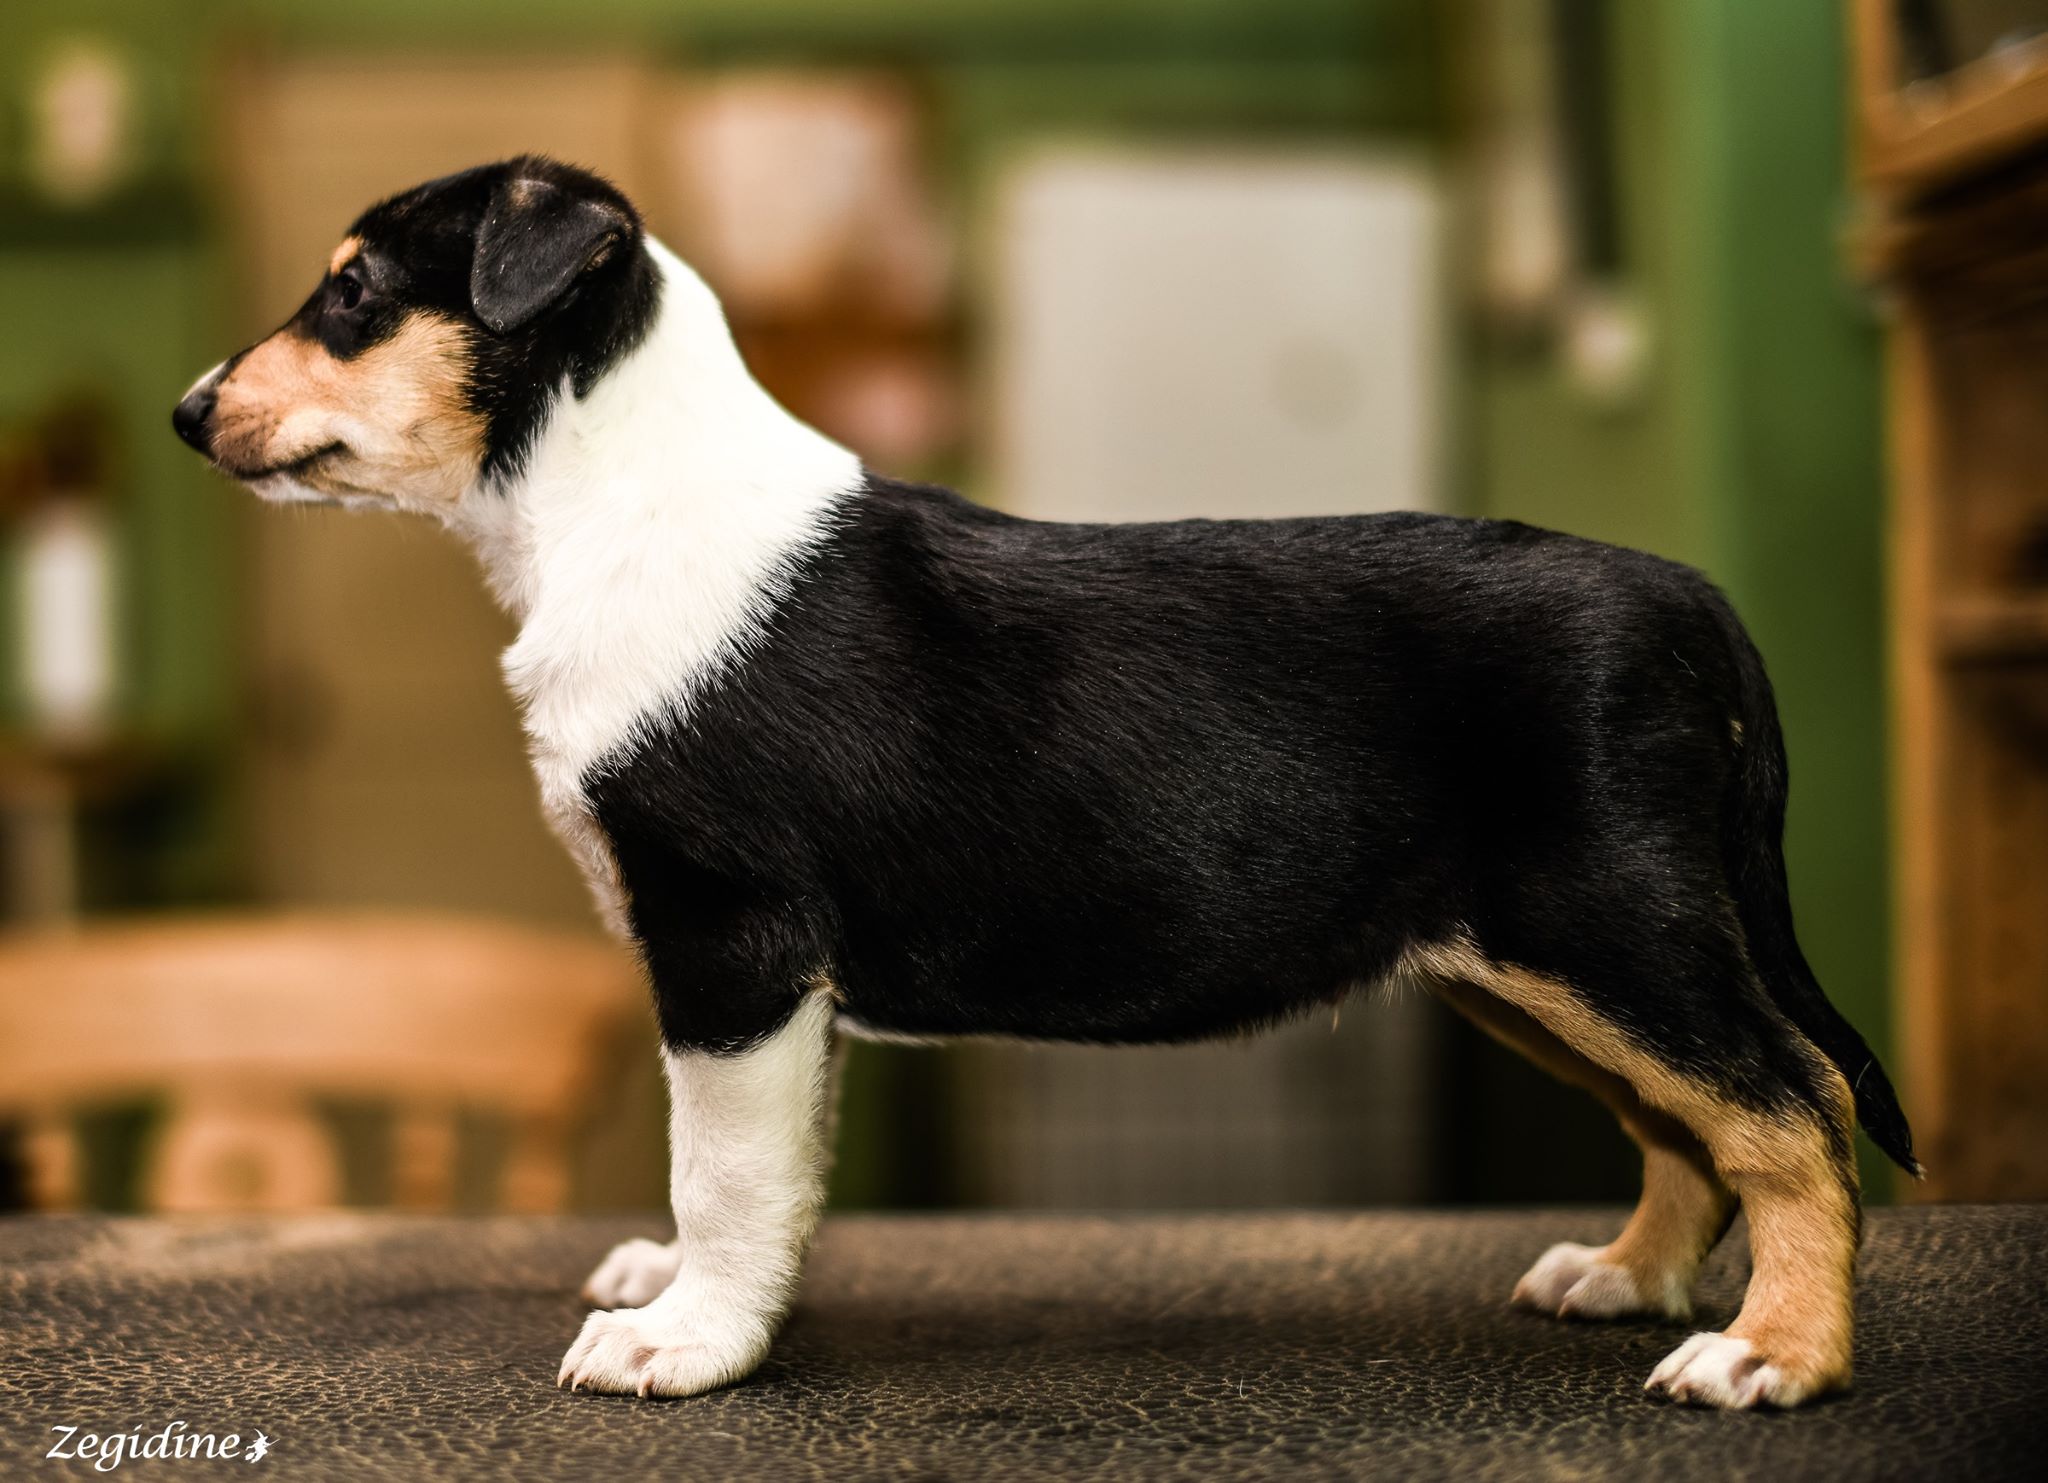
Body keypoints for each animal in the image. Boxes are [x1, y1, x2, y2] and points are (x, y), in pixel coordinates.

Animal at [176, 156, 1916, 1409]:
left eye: (351, 291)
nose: (192, 411)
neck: (608, 497)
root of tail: (1688, 595)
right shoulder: (781, 988)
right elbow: (778, 1163)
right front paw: (695, 1291)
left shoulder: (730, 939)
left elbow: (719, 1160)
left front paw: (686, 1338)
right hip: (1531, 960)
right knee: (1688, 1119)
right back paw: (1630, 1272)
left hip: (1607, 917)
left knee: (1791, 1098)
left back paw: (1776, 1350)